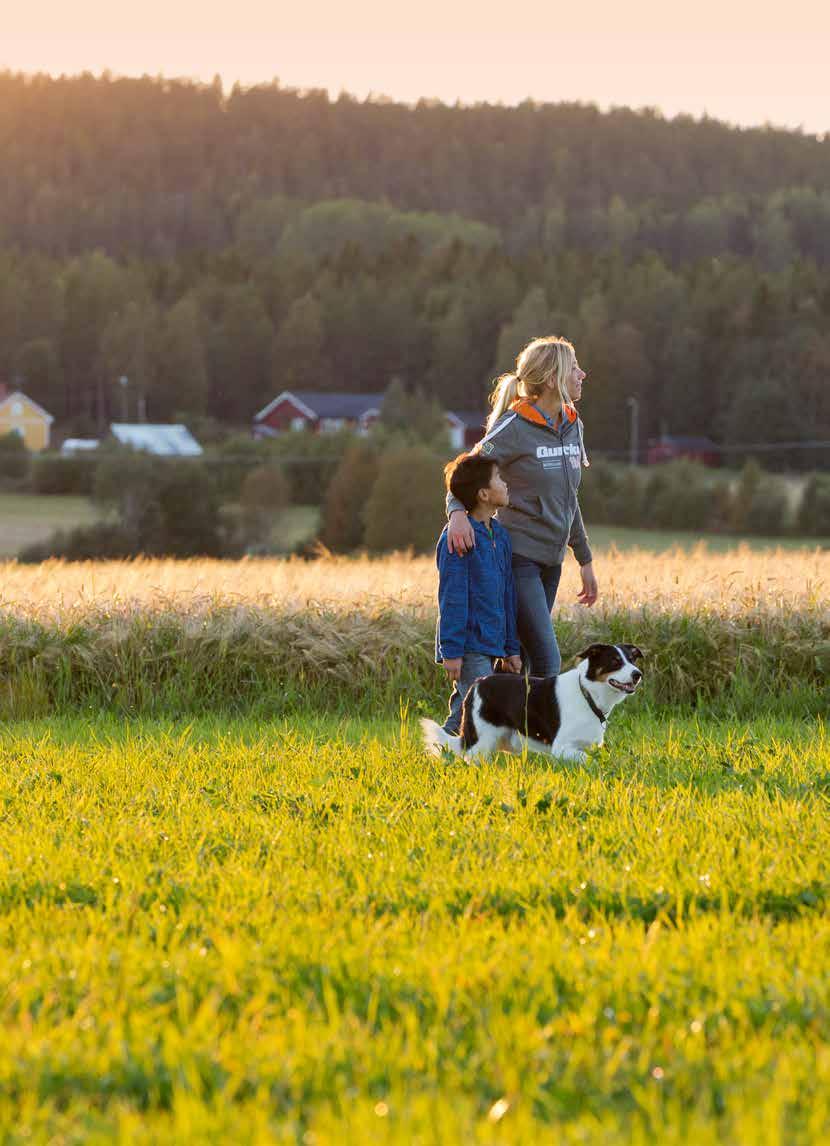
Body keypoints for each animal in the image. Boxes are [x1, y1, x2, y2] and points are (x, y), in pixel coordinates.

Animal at [421, 641, 641, 765]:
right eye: (615, 661)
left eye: (632, 660)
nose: (638, 674)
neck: (588, 692)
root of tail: (477, 683)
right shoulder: (561, 747)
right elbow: (588, 760)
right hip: (482, 740)